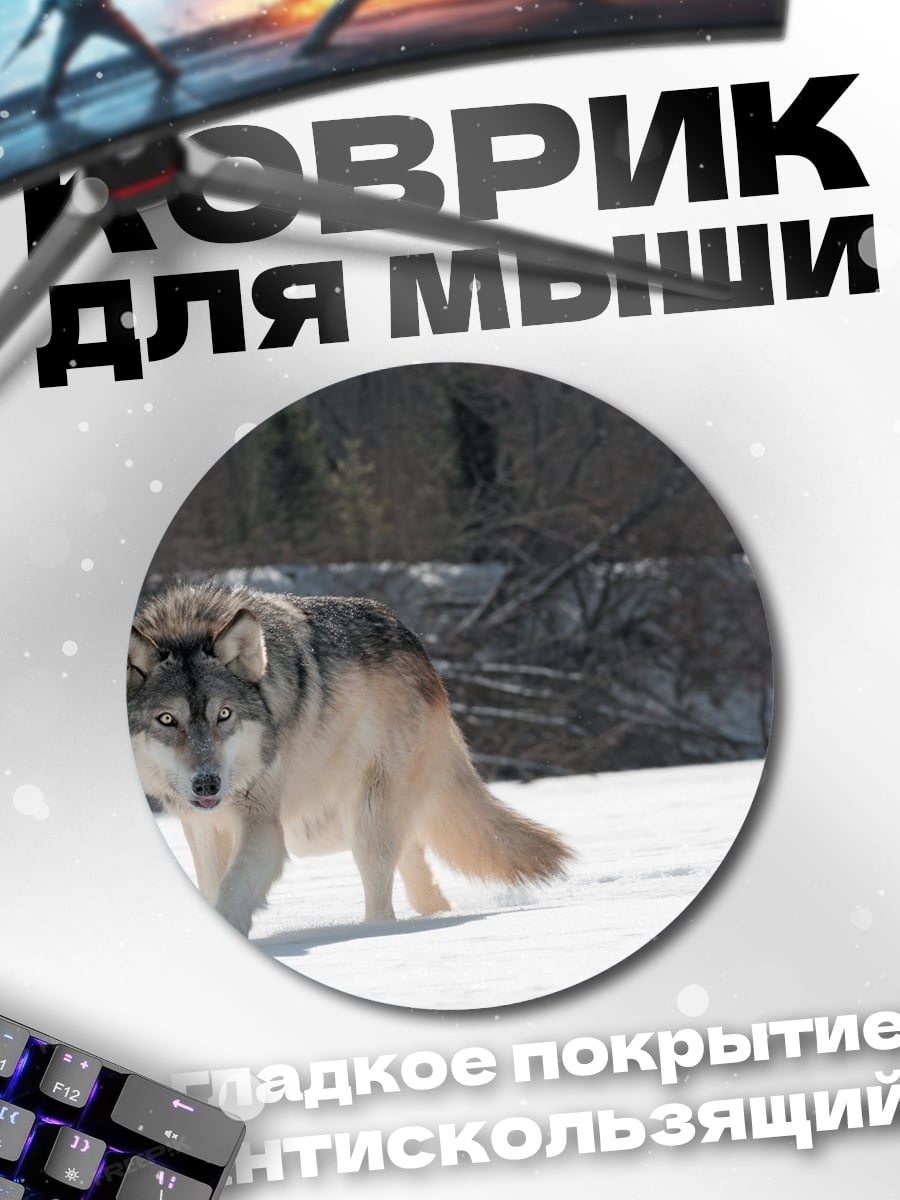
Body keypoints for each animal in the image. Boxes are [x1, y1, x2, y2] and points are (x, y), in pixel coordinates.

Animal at [127, 582, 572, 935]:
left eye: (224, 714)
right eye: (167, 719)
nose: (207, 783)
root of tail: (425, 660)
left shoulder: (263, 826)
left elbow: (233, 891)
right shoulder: (202, 827)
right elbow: (212, 885)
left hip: (361, 821)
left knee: (384, 899)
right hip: (323, 827)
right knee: (416, 863)